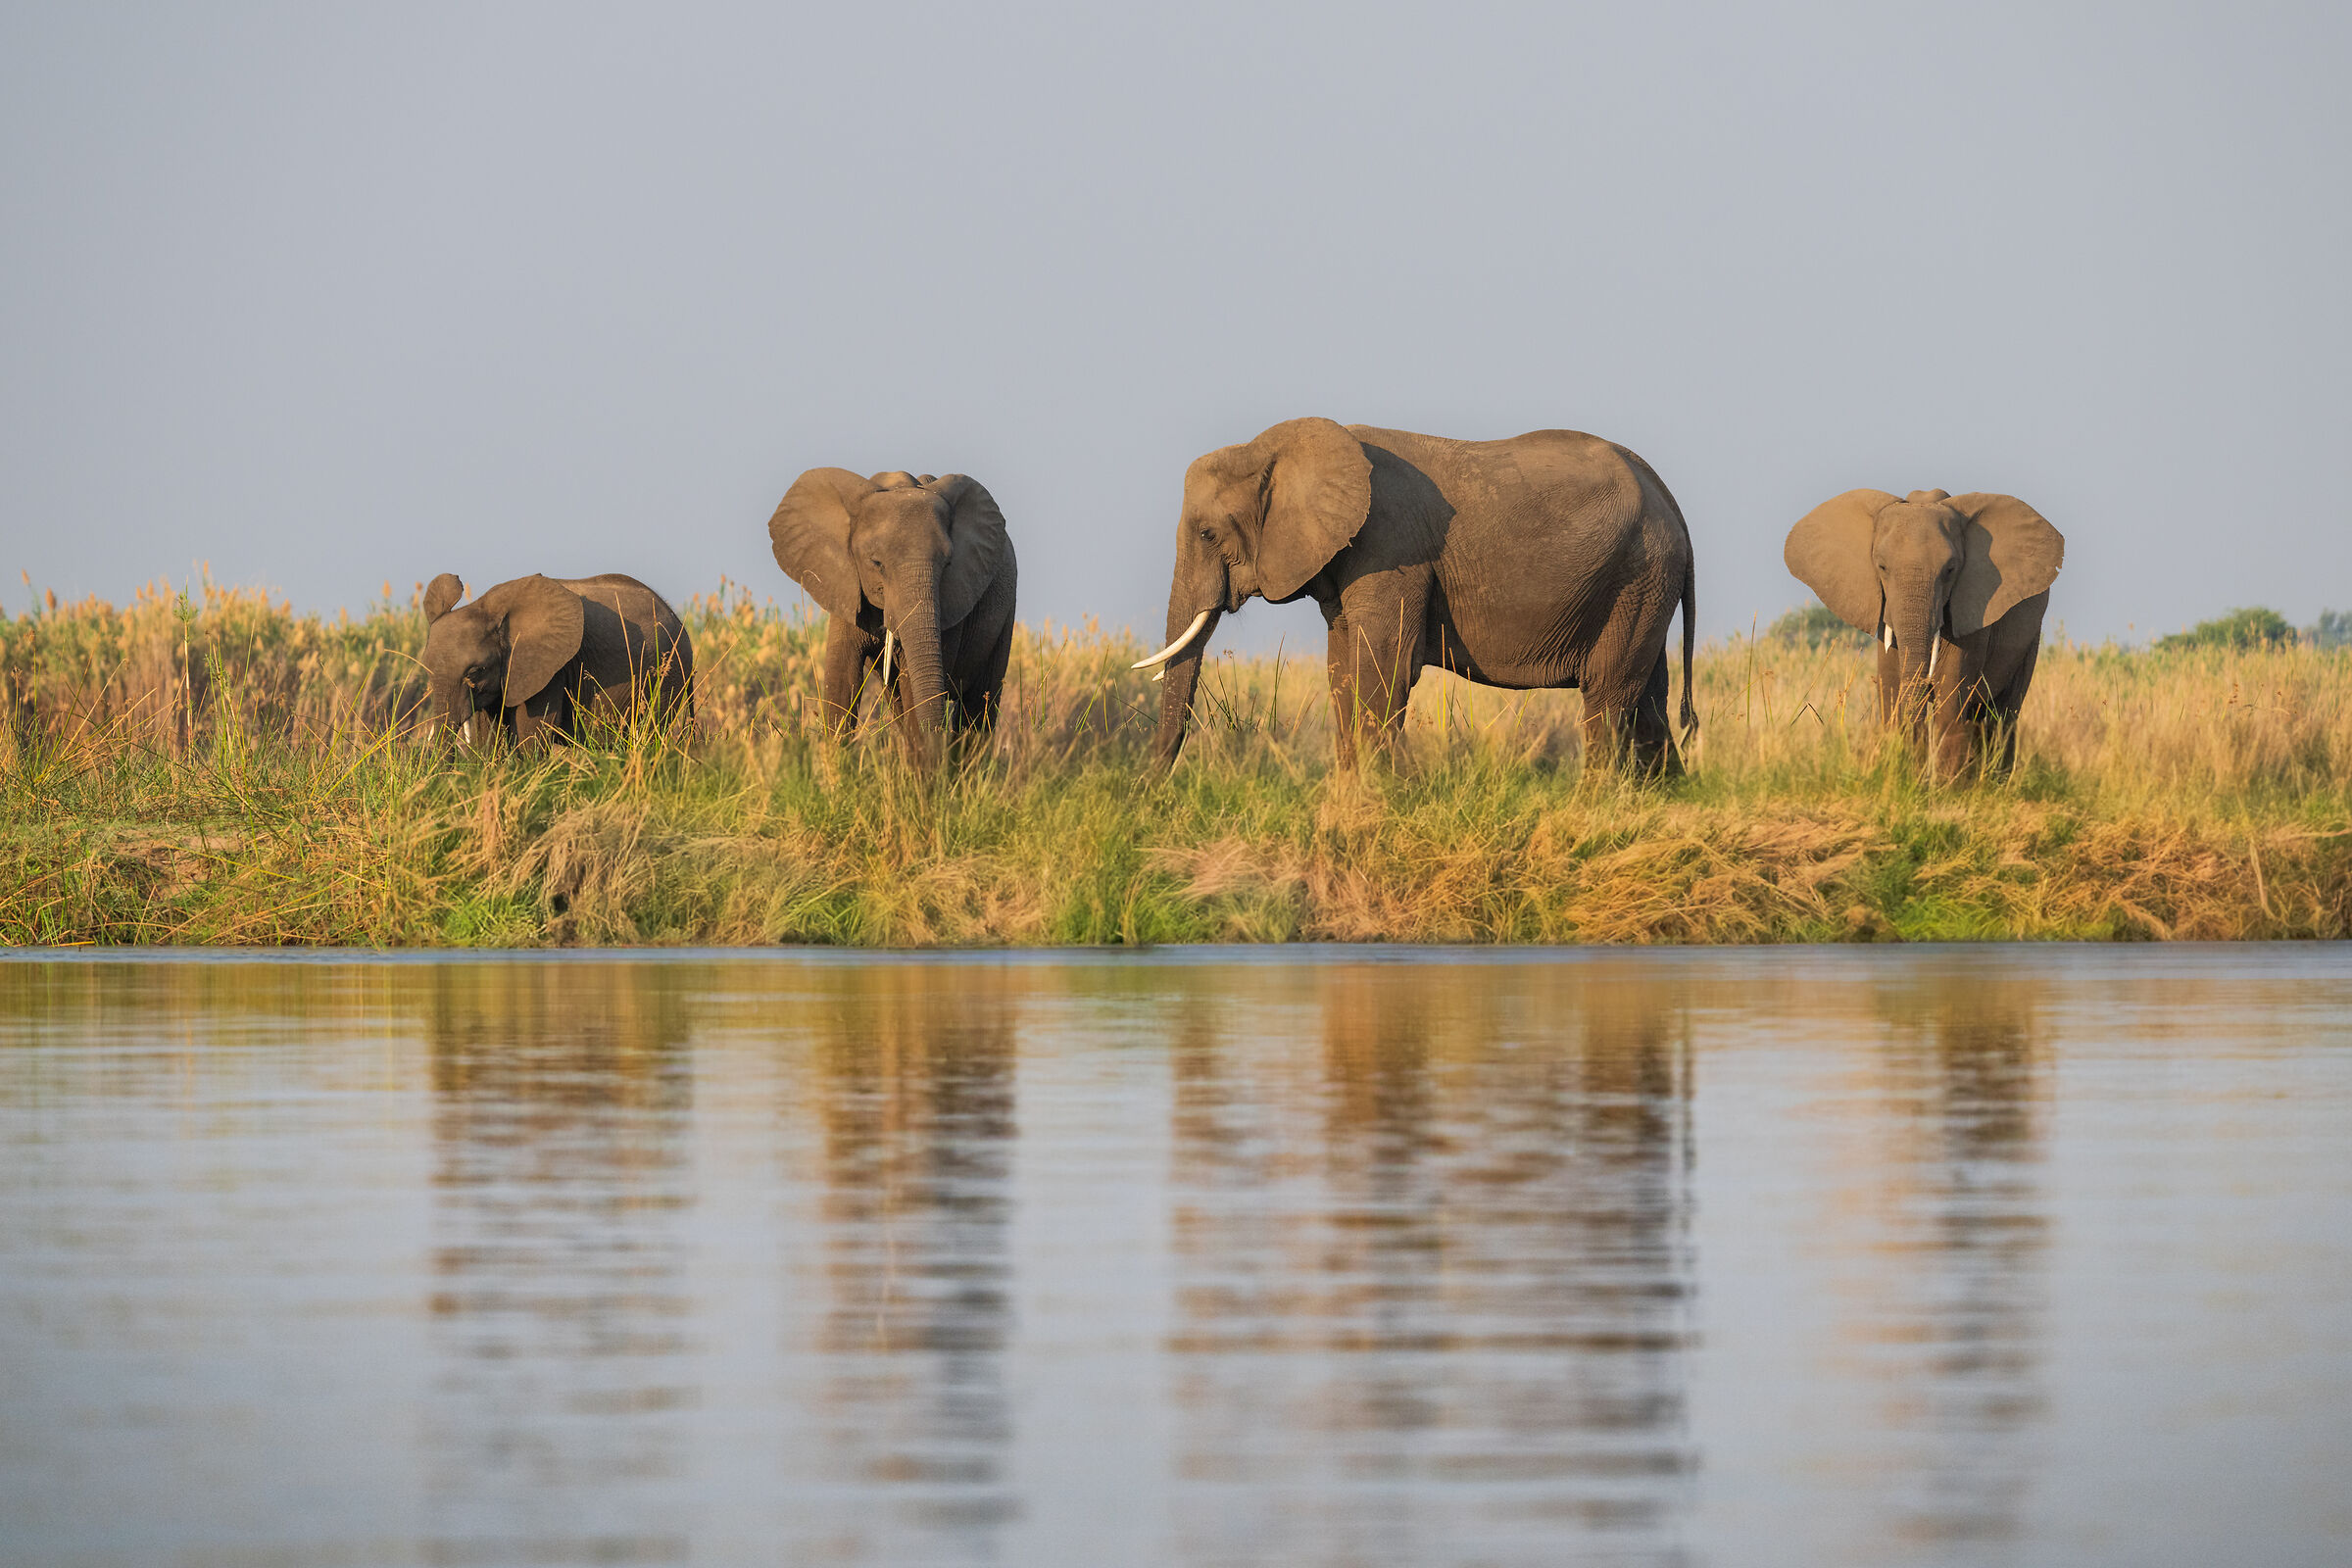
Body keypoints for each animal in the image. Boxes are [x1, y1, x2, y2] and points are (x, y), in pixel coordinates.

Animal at [419, 572, 694, 747]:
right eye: (428, 671)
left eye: (475, 671)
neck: (485, 608)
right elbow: (490, 733)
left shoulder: (550, 670)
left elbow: (530, 732)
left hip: (667, 676)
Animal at [768, 468, 1017, 770]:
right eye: (876, 563)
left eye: (947, 564)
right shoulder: (845, 588)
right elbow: (842, 682)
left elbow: (914, 686)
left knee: (979, 707)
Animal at [1135, 418, 1698, 773]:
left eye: (1207, 534)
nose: (1149, 794)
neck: (1273, 446)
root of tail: (1668, 498)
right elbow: (1343, 671)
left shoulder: (1391, 548)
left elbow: (1385, 672)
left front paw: (1373, 801)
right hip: (1644, 585)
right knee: (1647, 703)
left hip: (1639, 574)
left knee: (1607, 697)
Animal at [1784, 488, 2064, 778]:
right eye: (1882, 567)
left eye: (1950, 570)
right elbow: (1891, 689)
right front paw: (1907, 777)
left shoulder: (1973, 607)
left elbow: (1951, 696)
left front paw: (1942, 787)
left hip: (2030, 639)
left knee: (2002, 715)